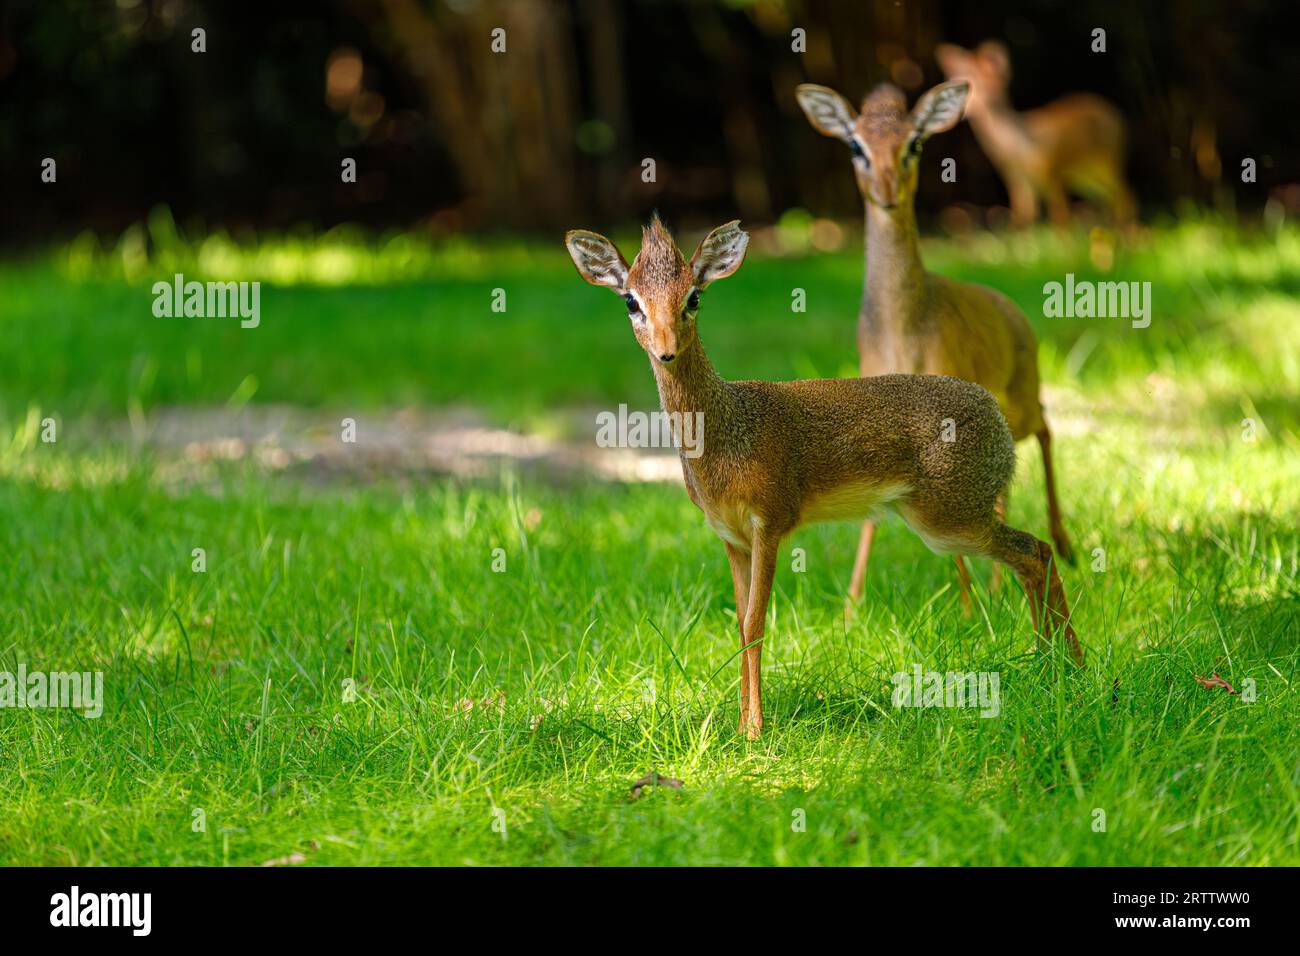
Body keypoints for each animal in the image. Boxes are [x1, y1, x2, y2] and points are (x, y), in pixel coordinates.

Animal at [564, 217, 1081, 738]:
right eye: (631, 301)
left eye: (693, 297)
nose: (667, 351)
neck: (727, 436)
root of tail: (996, 419)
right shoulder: (730, 535)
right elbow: (739, 623)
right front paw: (740, 724)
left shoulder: (770, 520)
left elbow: (755, 622)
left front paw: (755, 731)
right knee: (1031, 554)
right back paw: (1054, 663)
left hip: (949, 516)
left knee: (1035, 549)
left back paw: (1066, 663)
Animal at [795, 80, 1071, 613]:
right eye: (856, 145)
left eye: (915, 144)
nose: (886, 192)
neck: (904, 334)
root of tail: (1015, 312)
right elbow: (870, 515)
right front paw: (851, 605)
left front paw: (964, 606)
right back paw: (997, 585)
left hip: (1018, 392)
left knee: (1046, 427)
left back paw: (1059, 548)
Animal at [935, 40, 1138, 226]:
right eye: (952, 83)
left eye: (975, 87)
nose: (958, 113)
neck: (1016, 148)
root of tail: (1114, 111)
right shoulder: (1017, 181)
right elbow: (1024, 218)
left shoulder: (1051, 174)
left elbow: (1060, 219)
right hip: (1085, 175)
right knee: (1113, 197)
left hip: (1108, 162)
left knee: (1125, 196)